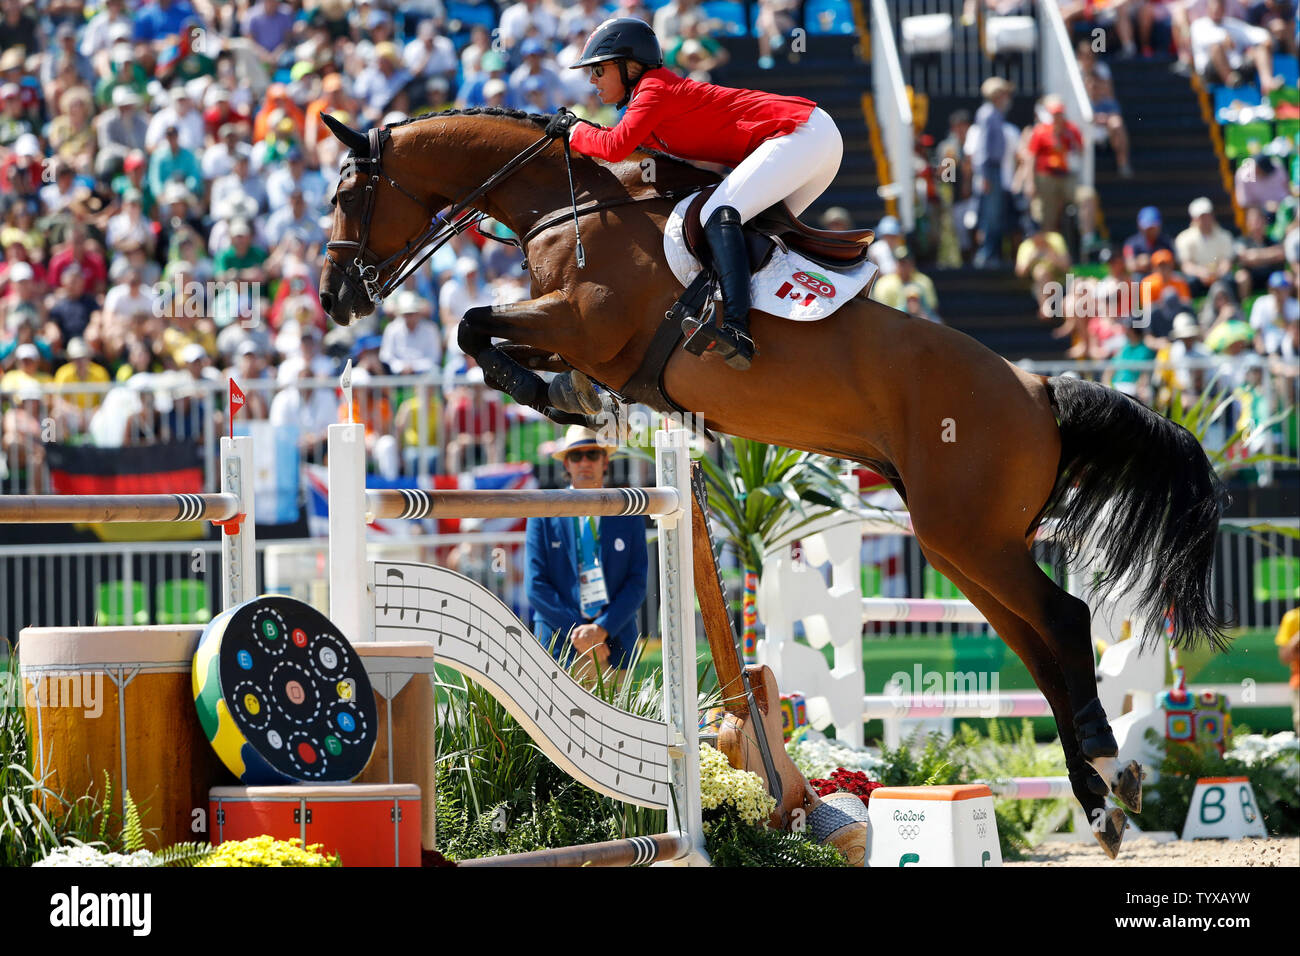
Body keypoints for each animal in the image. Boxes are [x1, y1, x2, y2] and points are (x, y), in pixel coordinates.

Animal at [317, 110, 1227, 858]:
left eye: (350, 193)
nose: (332, 299)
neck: (565, 208)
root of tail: (1039, 390)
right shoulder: (565, 330)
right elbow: (484, 333)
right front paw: (568, 397)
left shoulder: (580, 320)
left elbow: (477, 326)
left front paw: (562, 398)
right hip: (962, 544)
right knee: (1038, 647)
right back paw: (1100, 800)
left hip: (968, 535)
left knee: (1065, 621)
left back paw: (1108, 766)